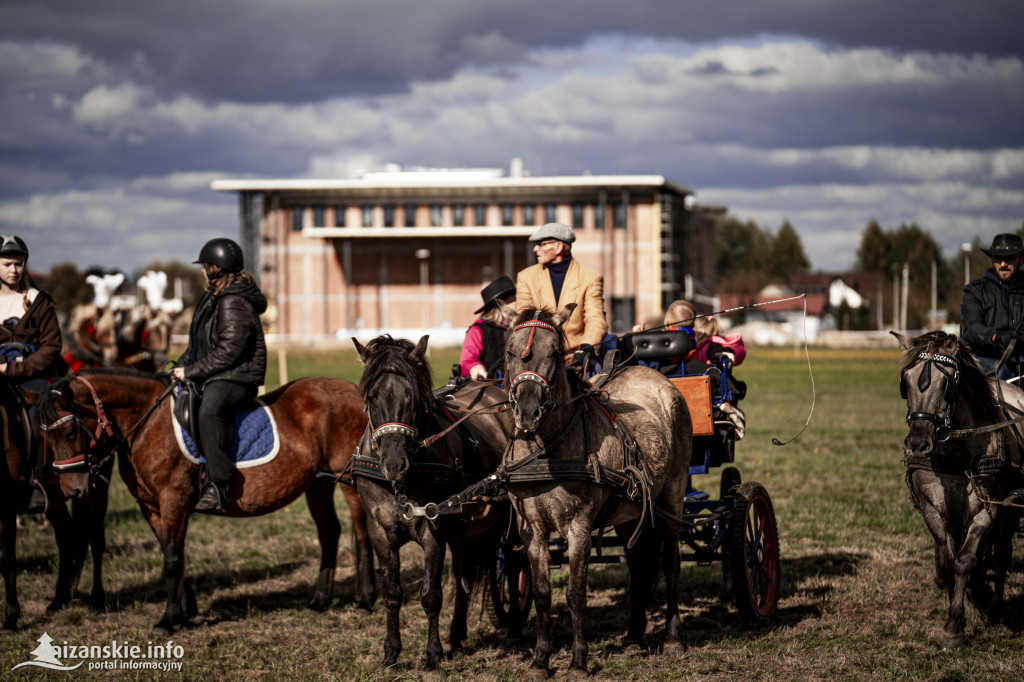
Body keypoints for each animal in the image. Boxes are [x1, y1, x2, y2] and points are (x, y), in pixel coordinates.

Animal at [36, 368, 382, 630]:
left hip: (350, 484)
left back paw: (366, 601)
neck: (147, 425)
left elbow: (172, 561)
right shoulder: (151, 507)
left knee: (362, 534)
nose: (72, 490)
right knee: (329, 533)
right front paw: (186, 611)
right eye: (45, 438)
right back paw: (320, 601)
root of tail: (354, 392)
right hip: (318, 484)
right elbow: (172, 553)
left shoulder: (173, 500)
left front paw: (169, 619)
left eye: (69, 434)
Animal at [352, 335, 516, 667]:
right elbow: (392, 593)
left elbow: (431, 595)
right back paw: (456, 634)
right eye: (371, 397)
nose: (393, 463)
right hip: (462, 530)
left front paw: (432, 655)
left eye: (413, 398)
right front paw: (391, 653)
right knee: (465, 575)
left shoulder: (433, 531)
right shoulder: (380, 533)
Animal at [497, 303, 692, 679]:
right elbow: (542, 594)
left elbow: (575, 594)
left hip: (673, 495)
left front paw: (578, 661)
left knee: (671, 561)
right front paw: (540, 660)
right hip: (631, 511)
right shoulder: (532, 530)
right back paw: (633, 638)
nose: (527, 412)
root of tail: (656, 377)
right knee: (640, 566)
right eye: (510, 352)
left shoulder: (580, 526)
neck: (545, 452)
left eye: (554, 353)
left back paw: (674, 638)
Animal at [897, 331, 1024, 647]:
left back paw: (995, 606)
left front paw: (954, 626)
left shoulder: (988, 508)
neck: (956, 452)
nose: (917, 443)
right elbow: (947, 559)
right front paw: (960, 593)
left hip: (1009, 510)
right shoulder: (931, 507)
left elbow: (966, 560)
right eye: (906, 383)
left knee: (1002, 554)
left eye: (947, 385)